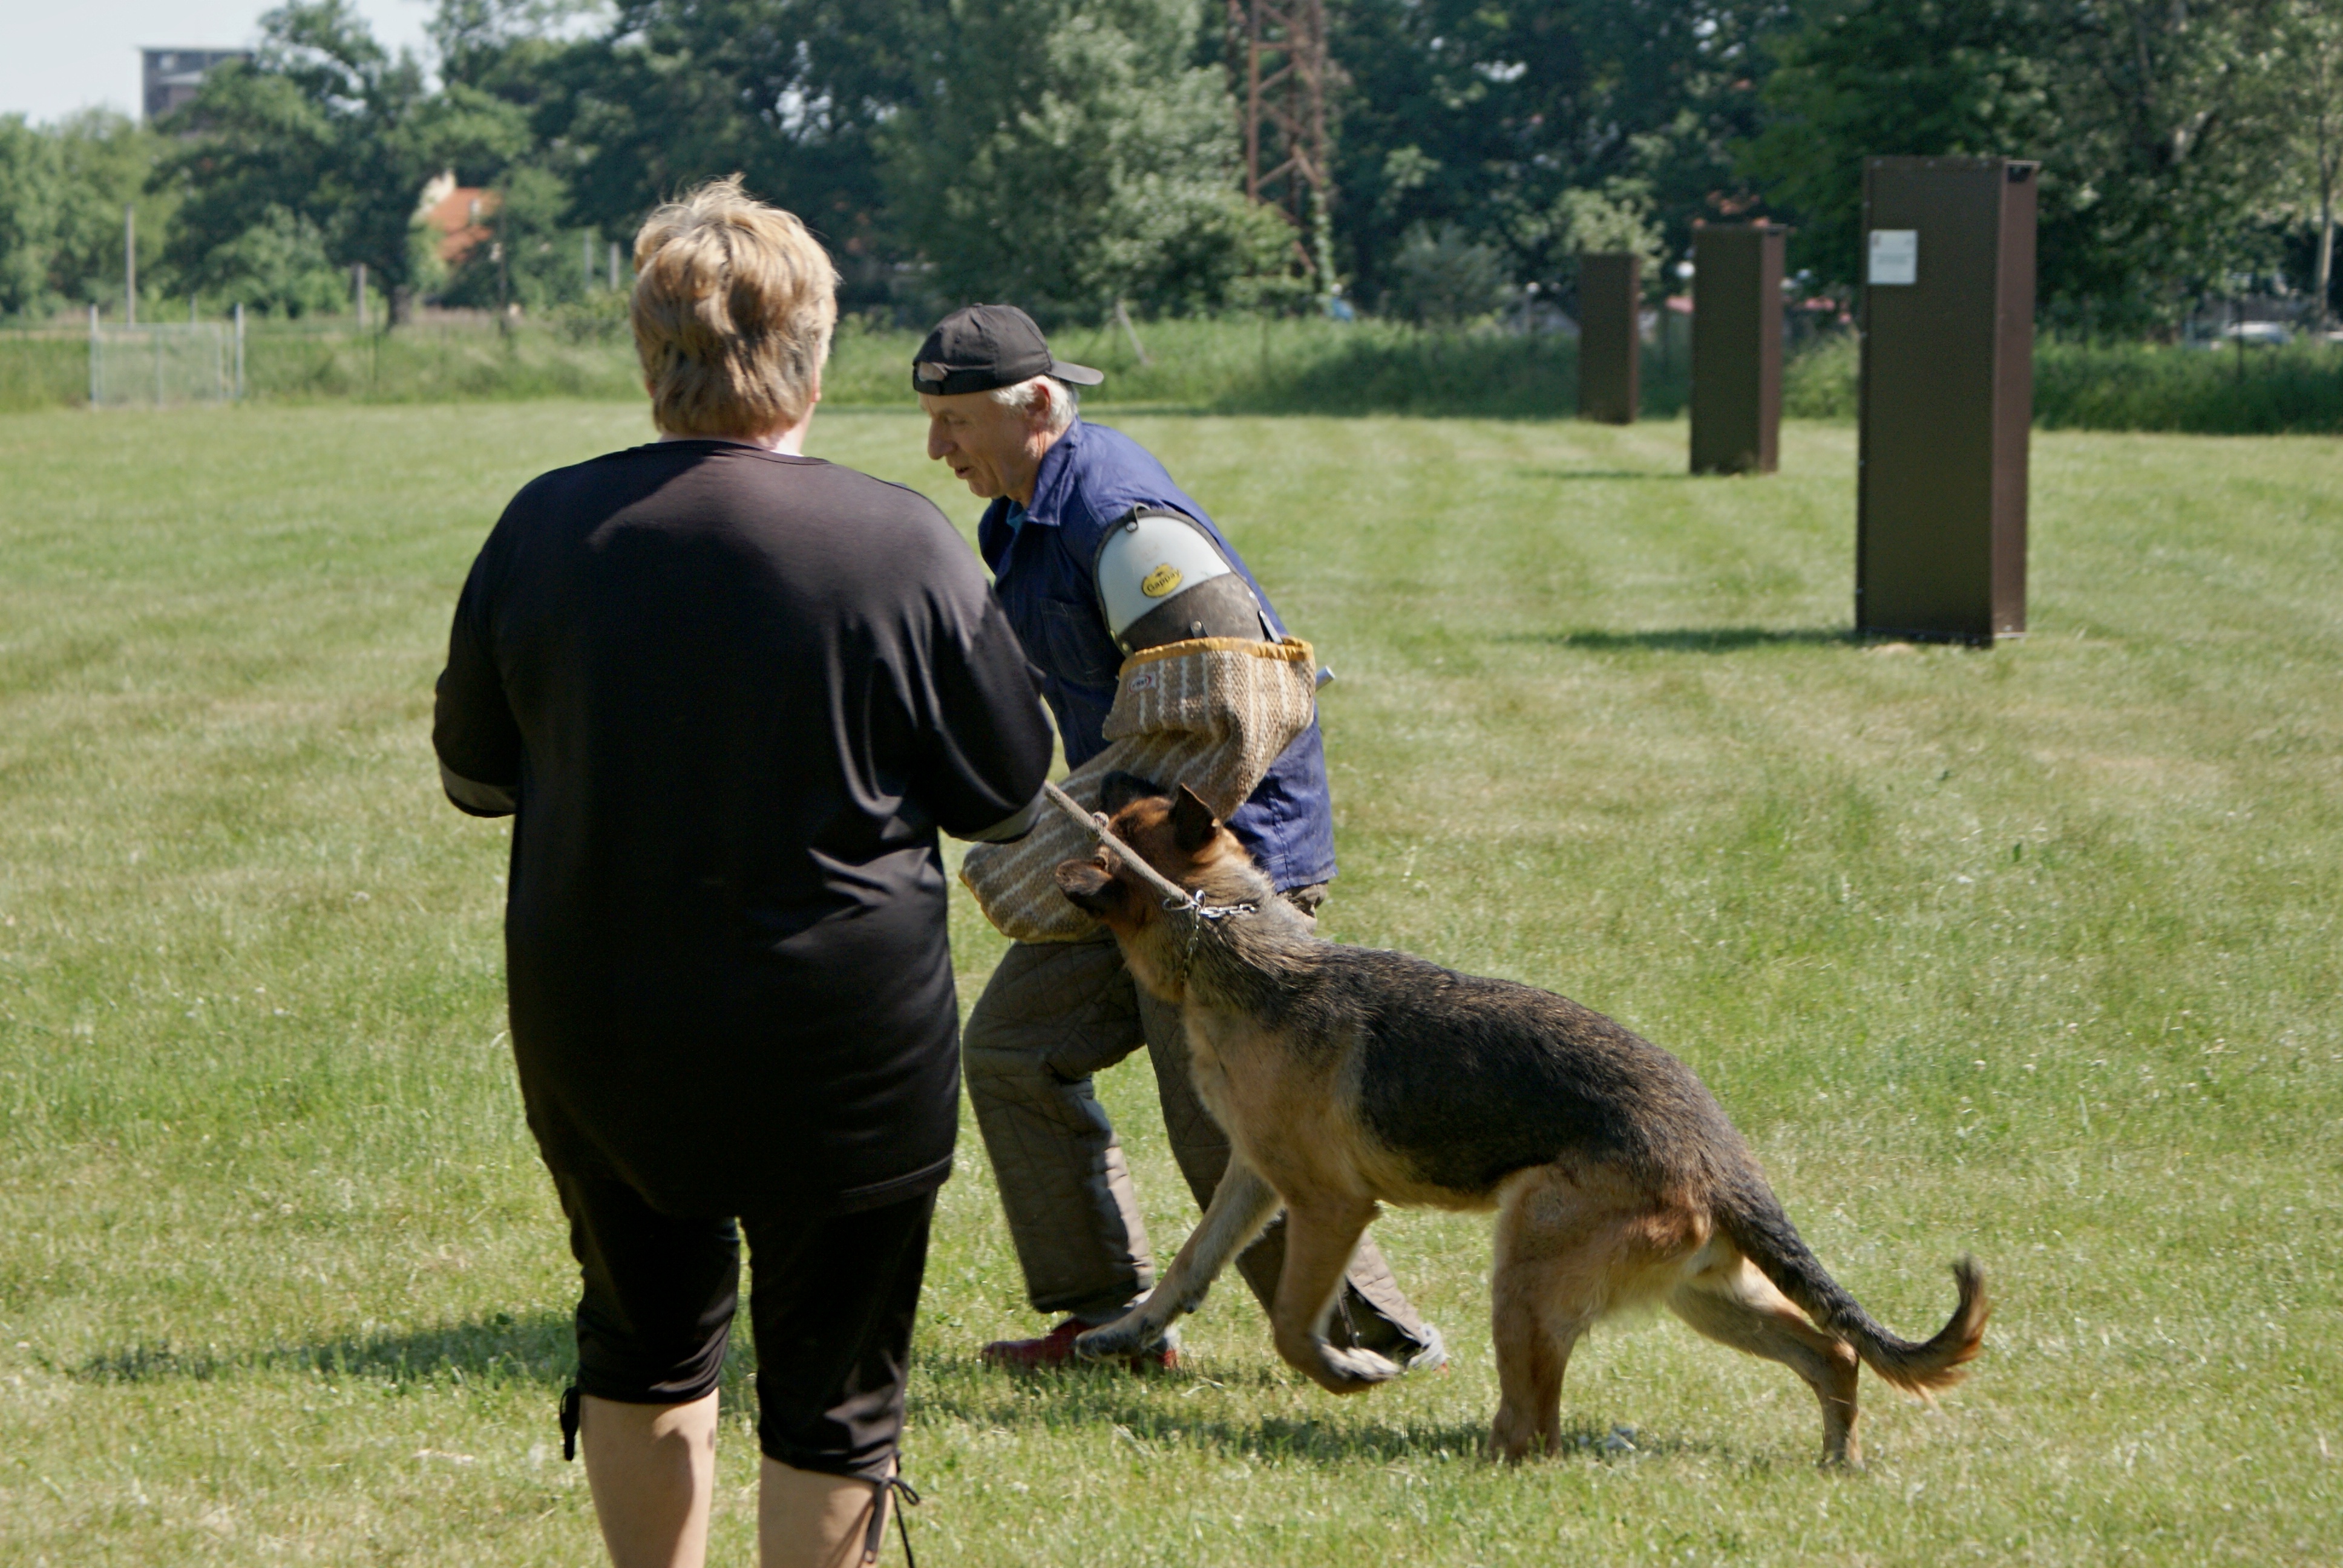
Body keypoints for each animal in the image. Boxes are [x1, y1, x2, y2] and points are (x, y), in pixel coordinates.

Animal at [1054, 778, 1987, 1462]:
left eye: (1114, 832)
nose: (1070, 797)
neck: (1234, 946)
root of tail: (1721, 1158)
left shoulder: (1330, 1207)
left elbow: (1290, 1323)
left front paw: (1347, 1370)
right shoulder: (1254, 1177)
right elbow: (1189, 1265)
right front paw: (1126, 1329)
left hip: (1528, 1268)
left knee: (1534, 1431)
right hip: (1702, 1295)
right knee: (1831, 1352)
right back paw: (1837, 1461)